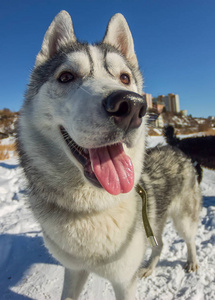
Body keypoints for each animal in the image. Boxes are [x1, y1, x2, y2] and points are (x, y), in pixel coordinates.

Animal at [17, 9, 202, 300]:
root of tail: (175, 147)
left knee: (190, 239)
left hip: (184, 218)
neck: (93, 207)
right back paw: (150, 267)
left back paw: (192, 261)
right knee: (158, 244)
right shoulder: (73, 270)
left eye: (125, 78)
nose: (131, 106)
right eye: (66, 77)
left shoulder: (124, 281)